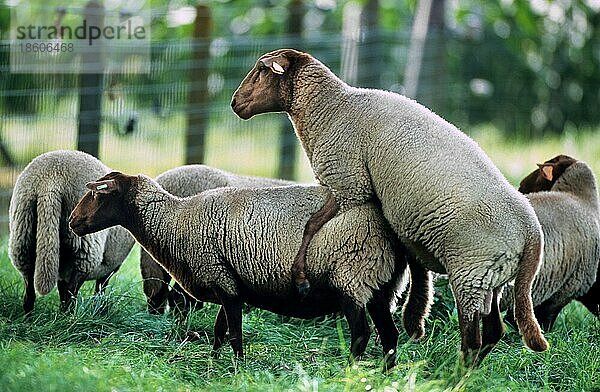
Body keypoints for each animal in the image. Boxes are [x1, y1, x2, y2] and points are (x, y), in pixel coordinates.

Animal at [8, 150, 132, 312]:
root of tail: (51, 180)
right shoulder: (110, 267)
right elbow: (99, 288)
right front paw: (99, 308)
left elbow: (62, 287)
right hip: (85, 247)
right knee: (73, 290)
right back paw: (69, 315)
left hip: (22, 234)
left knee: (29, 290)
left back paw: (31, 316)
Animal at [232, 47, 552, 360]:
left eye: (261, 70)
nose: (235, 104)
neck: (331, 107)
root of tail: (532, 234)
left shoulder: (349, 184)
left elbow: (312, 226)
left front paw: (301, 277)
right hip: (490, 277)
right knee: (494, 330)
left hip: (470, 272)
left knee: (472, 338)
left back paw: (455, 372)